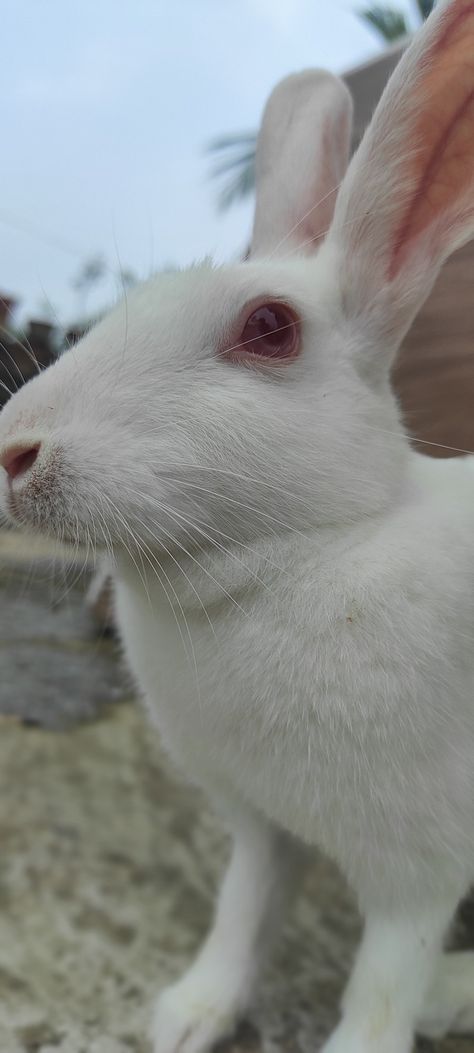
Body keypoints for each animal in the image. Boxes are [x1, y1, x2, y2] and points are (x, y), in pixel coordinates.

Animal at [1, 4, 473, 1048]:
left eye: (269, 328)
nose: (14, 448)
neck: (300, 557)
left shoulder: (417, 872)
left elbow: (381, 983)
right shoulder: (260, 824)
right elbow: (241, 908)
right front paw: (187, 1015)